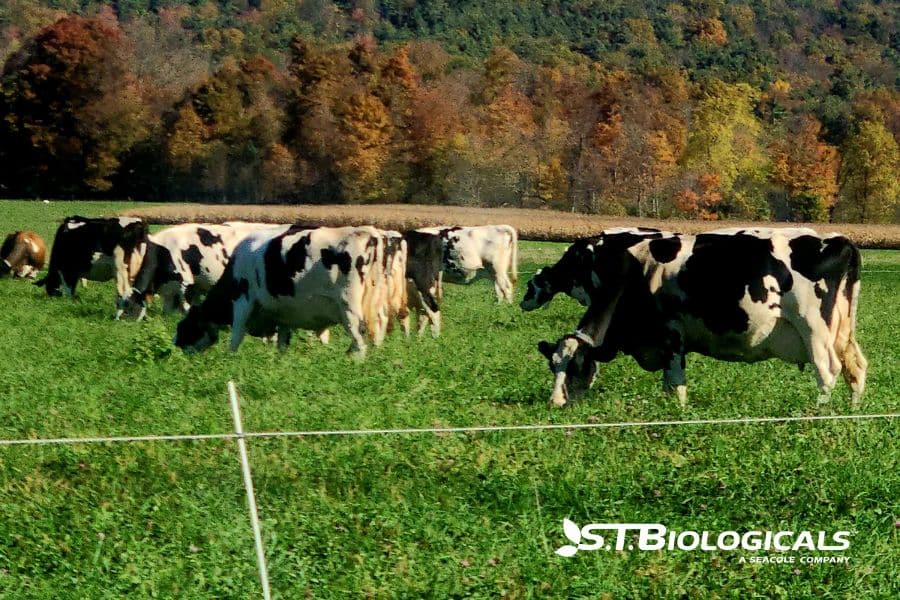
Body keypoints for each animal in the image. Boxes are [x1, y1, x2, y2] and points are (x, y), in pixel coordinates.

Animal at [117, 222, 288, 320]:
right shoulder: (171, 289)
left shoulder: (186, 282)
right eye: (118, 303)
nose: (117, 323)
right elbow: (168, 311)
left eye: (129, 306)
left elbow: (187, 307)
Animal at [174, 226, 396, 358]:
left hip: (350, 308)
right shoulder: (284, 314)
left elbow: (236, 335)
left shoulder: (243, 301)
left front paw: (230, 360)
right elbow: (282, 341)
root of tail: (368, 233)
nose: (176, 344)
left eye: (184, 327)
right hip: (376, 305)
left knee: (360, 338)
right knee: (378, 328)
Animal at [523, 227, 867, 408]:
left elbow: (675, 382)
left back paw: (817, 413)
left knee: (827, 371)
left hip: (814, 330)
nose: (555, 403)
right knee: (856, 367)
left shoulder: (671, 335)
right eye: (553, 366)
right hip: (842, 332)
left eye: (576, 367)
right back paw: (851, 411)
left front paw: (676, 412)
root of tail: (838, 240)